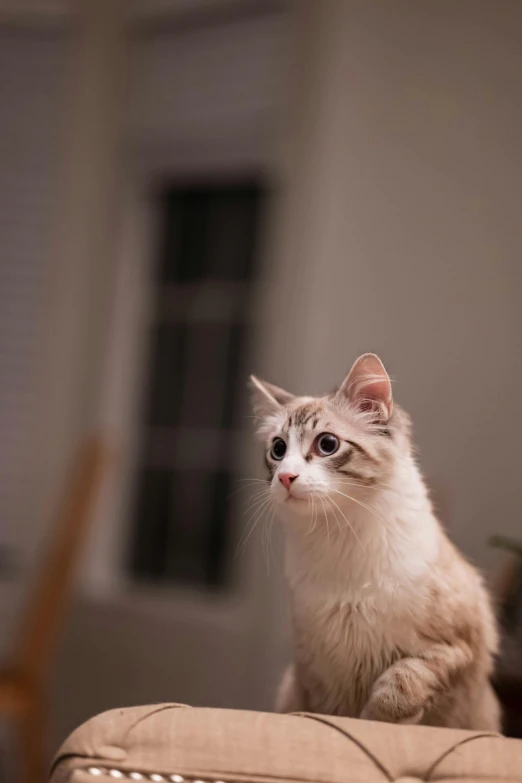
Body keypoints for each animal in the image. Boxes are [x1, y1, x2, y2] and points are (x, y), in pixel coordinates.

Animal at [248, 352, 500, 732]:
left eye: (327, 444)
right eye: (278, 450)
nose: (286, 477)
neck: (339, 535)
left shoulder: (455, 647)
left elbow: (403, 680)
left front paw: (379, 718)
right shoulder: (316, 672)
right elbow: (328, 716)